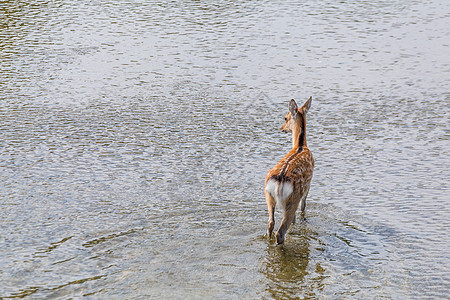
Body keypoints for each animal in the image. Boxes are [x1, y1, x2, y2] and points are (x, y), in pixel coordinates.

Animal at [264, 97, 312, 245]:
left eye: (285, 117)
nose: (282, 128)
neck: (300, 145)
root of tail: (279, 181)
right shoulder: (308, 185)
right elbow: (304, 205)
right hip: (293, 198)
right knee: (281, 230)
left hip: (268, 195)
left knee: (271, 223)